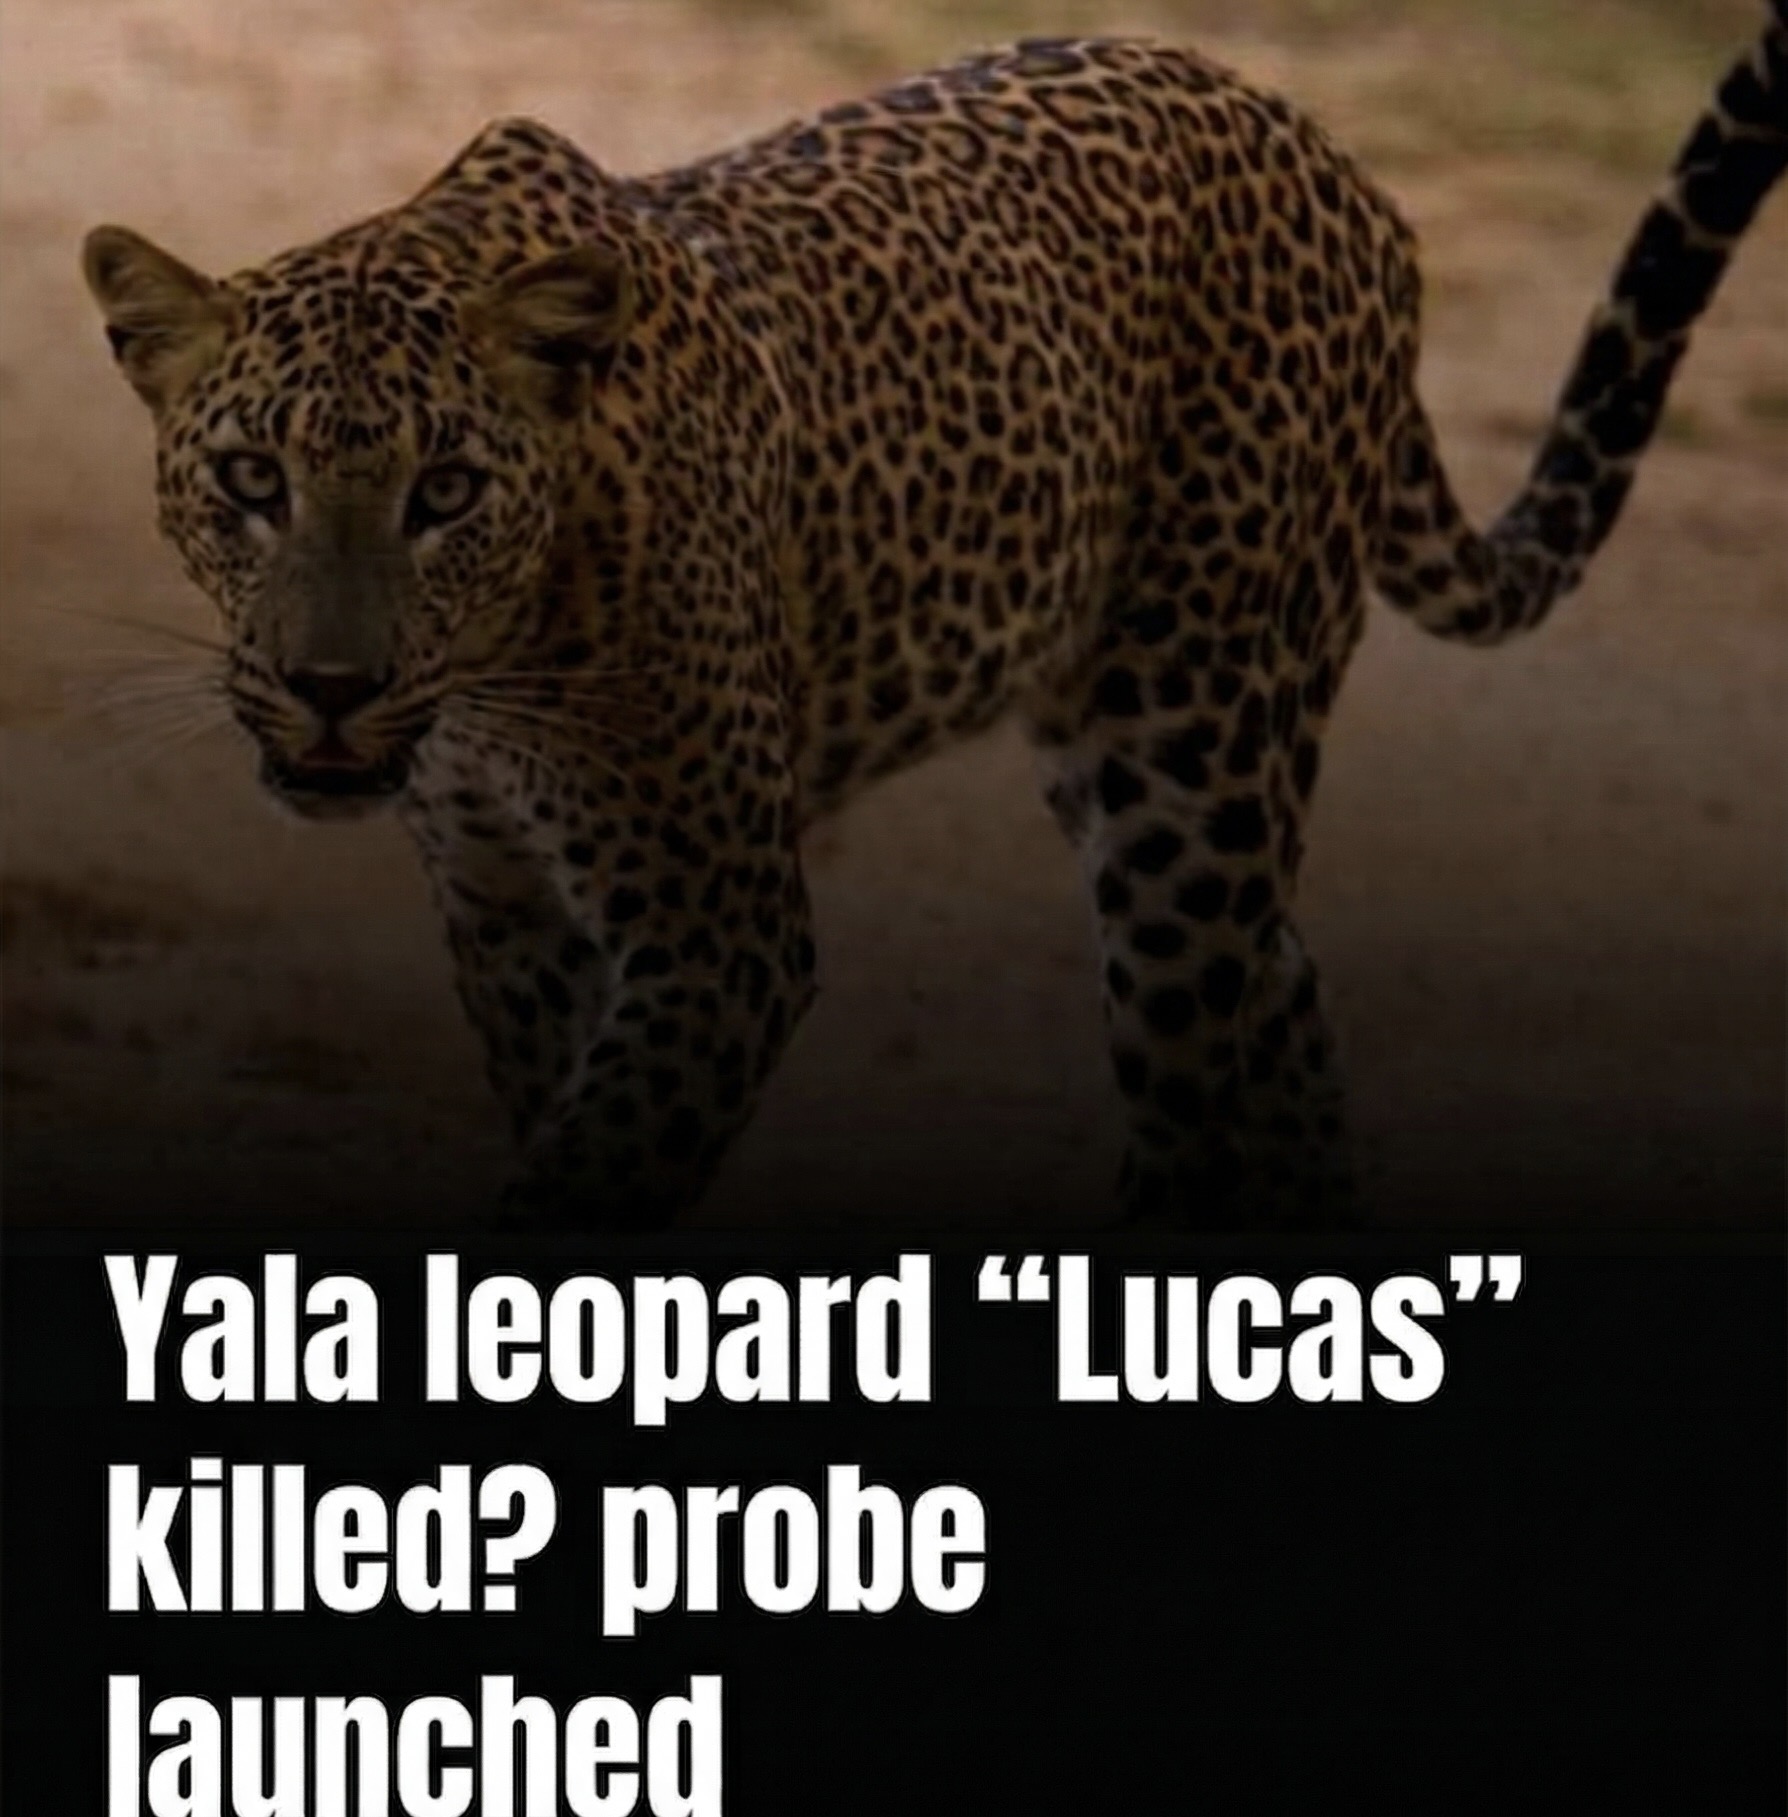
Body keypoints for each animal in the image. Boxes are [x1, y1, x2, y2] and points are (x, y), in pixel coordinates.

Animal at [80, 12, 1787, 1228]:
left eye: (444, 491)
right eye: (249, 480)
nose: (330, 685)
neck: (499, 673)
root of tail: (1328, 153)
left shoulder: (717, 928)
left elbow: (589, 1173)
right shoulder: (508, 913)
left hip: (1199, 747)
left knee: (1199, 1054)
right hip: (1124, 738)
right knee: (1282, 996)